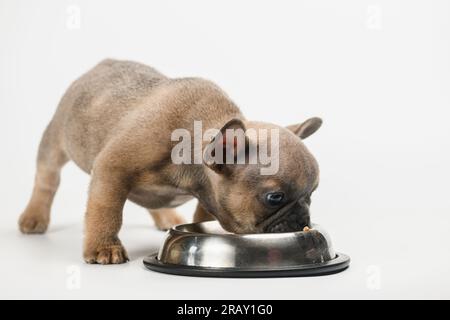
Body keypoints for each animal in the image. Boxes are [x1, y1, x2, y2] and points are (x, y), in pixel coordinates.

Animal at [19, 58, 322, 264]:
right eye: (274, 197)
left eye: (312, 194)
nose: (303, 219)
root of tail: (98, 67)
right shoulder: (111, 169)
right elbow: (107, 212)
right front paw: (103, 247)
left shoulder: (208, 195)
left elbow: (203, 215)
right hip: (56, 141)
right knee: (46, 179)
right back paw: (34, 216)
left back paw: (165, 216)